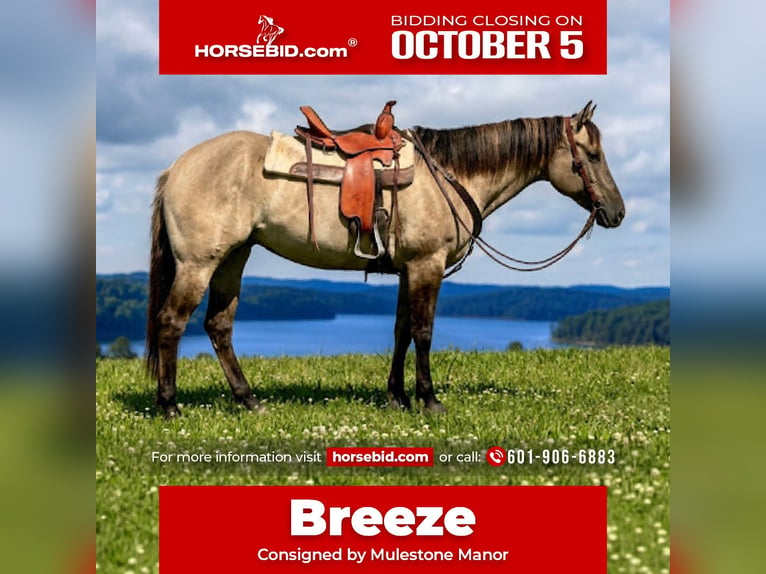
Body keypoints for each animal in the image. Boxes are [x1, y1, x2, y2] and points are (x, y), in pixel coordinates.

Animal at [145, 102, 625, 418]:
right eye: (593, 155)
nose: (617, 213)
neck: (450, 174)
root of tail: (177, 166)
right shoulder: (428, 265)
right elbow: (424, 332)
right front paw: (429, 400)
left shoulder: (408, 270)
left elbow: (401, 332)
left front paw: (397, 397)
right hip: (199, 264)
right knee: (171, 322)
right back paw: (170, 406)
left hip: (233, 258)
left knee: (218, 326)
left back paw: (248, 400)